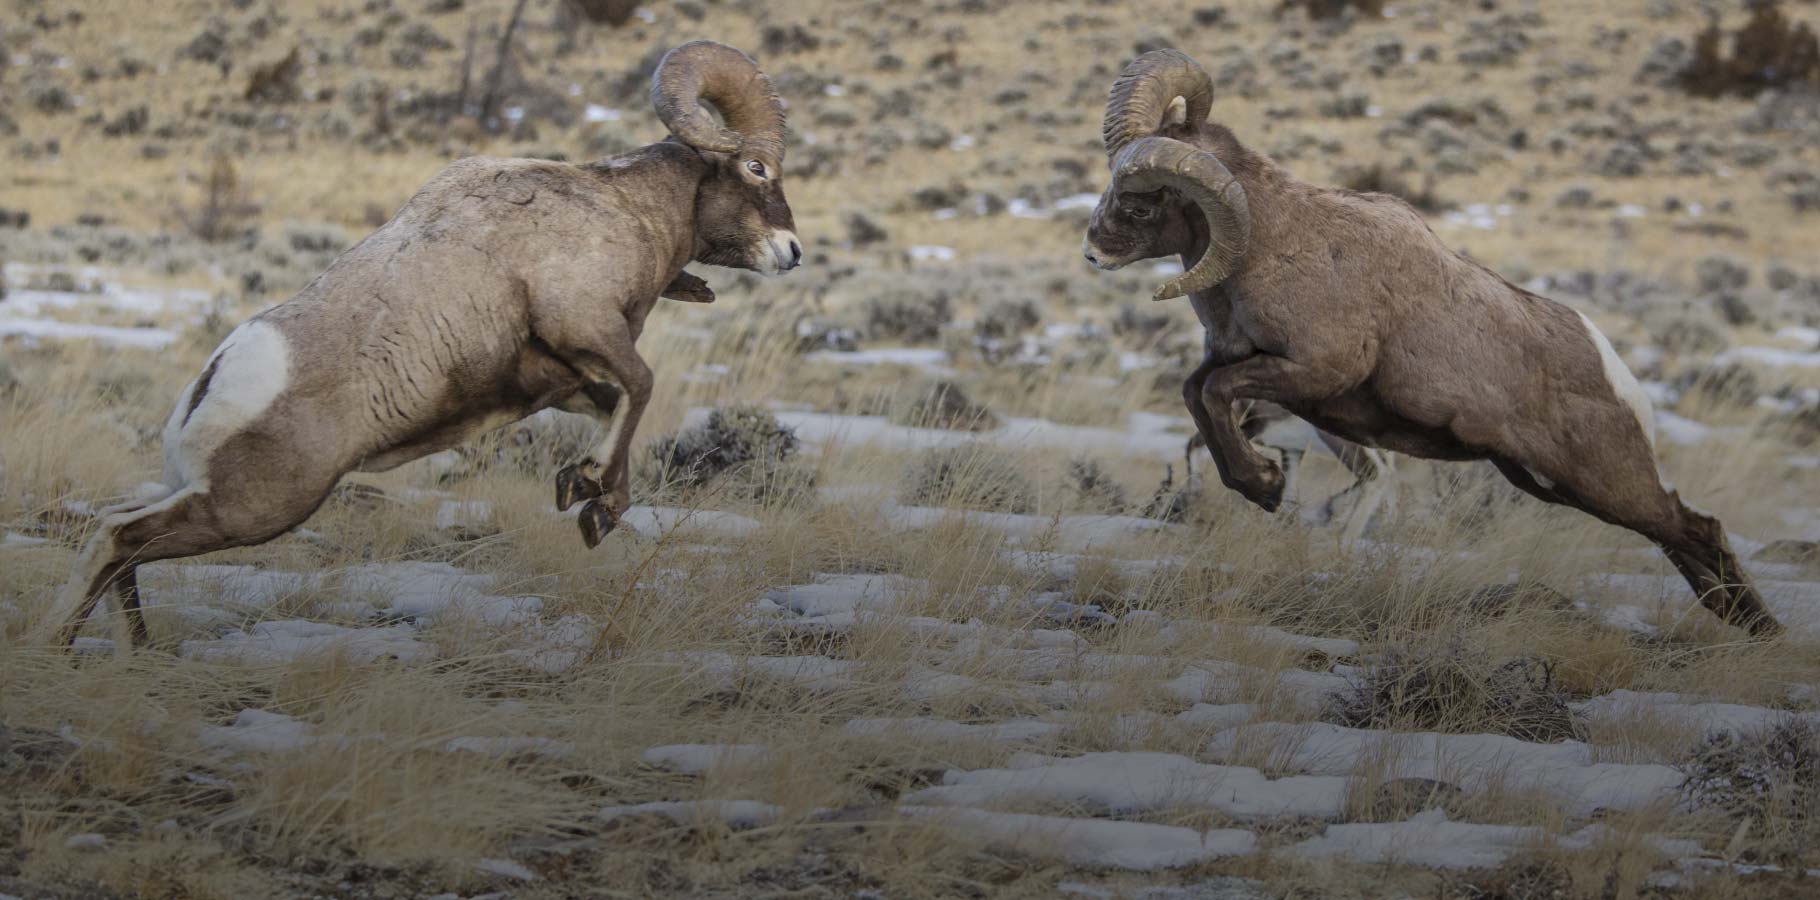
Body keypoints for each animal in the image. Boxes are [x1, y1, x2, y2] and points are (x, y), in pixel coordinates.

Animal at [37, 41, 803, 650]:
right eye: (757, 170)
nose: (792, 252)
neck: (621, 212)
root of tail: (215, 383)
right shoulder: (586, 329)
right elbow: (642, 388)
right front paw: (595, 508)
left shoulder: (567, 379)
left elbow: (616, 404)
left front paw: (580, 489)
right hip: (254, 509)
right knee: (118, 540)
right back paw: (64, 649)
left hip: (203, 495)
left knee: (119, 536)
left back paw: (124, 654)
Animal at [1081, 49, 1781, 636]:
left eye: (1139, 206)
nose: (1092, 252)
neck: (1272, 246)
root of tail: (1616, 374)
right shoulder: (1237, 372)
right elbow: (1197, 397)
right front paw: (1264, 487)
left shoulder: (1309, 374)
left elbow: (1217, 398)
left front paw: (1266, 488)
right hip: (1548, 484)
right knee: (1680, 537)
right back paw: (1743, 625)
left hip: (1603, 483)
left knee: (1695, 527)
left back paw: (1761, 630)